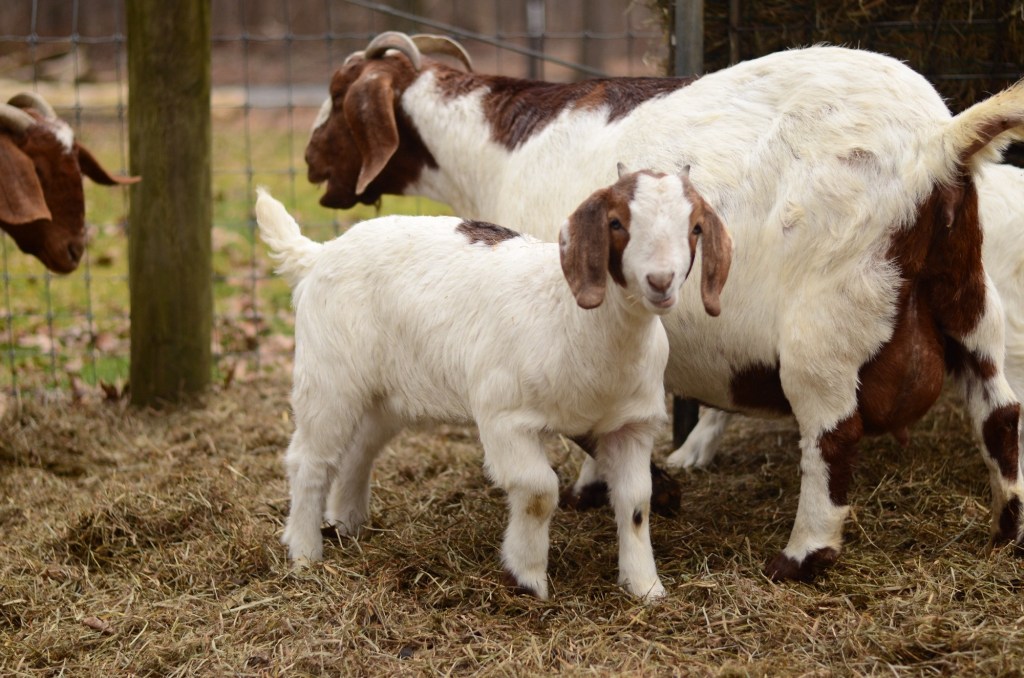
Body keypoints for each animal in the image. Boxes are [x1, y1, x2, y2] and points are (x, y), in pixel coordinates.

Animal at [255, 167, 731, 600]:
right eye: (616, 223)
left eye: (694, 228)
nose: (660, 281)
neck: (576, 320)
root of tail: (318, 255)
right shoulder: (506, 417)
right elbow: (539, 491)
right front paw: (527, 577)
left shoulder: (632, 425)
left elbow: (636, 503)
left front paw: (646, 587)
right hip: (329, 376)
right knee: (310, 460)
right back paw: (304, 552)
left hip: (383, 394)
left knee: (359, 450)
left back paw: (347, 522)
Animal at [305, 32, 1024, 581]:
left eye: (339, 97)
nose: (311, 165)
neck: (496, 153)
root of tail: (939, 143)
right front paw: (598, 488)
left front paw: (648, 490)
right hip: (966, 296)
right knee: (999, 412)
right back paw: (1007, 531)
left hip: (829, 318)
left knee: (833, 436)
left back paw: (801, 557)